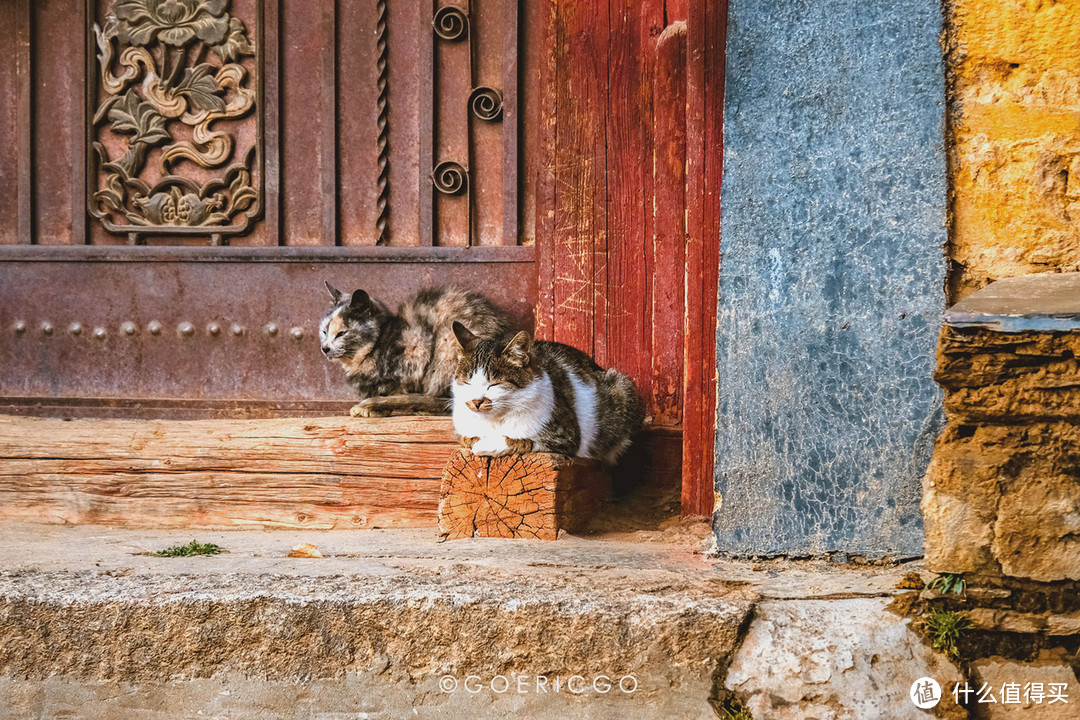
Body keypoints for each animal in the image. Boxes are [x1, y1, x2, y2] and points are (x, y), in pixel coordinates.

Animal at [319, 282, 509, 416]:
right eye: (324, 331)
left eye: (341, 333)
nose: (325, 348)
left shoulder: (417, 346)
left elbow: (393, 387)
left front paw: (375, 408)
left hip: (447, 342)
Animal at [447, 323, 639, 464]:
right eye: (467, 382)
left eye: (495, 384)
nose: (476, 401)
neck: (494, 421)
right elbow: (467, 439)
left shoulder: (565, 437)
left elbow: (525, 441)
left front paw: (488, 445)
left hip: (622, 386)